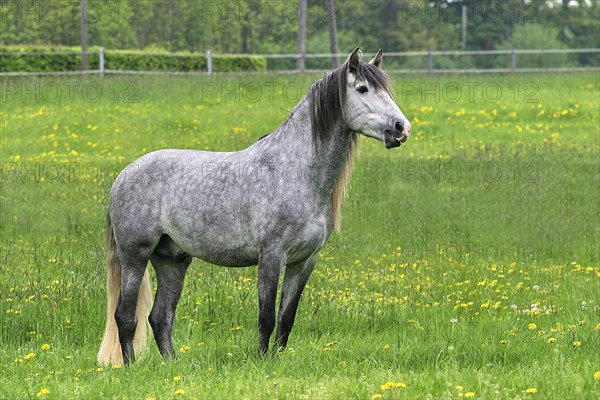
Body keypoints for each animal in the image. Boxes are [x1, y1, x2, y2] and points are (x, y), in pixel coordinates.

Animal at [99, 47, 408, 366]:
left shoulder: (303, 262)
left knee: (160, 317)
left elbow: (286, 317)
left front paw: (279, 359)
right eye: (362, 89)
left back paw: (173, 364)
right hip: (135, 256)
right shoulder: (271, 256)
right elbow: (266, 316)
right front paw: (262, 360)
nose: (401, 128)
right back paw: (131, 365)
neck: (294, 172)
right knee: (126, 317)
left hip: (173, 260)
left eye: (387, 90)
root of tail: (124, 175)